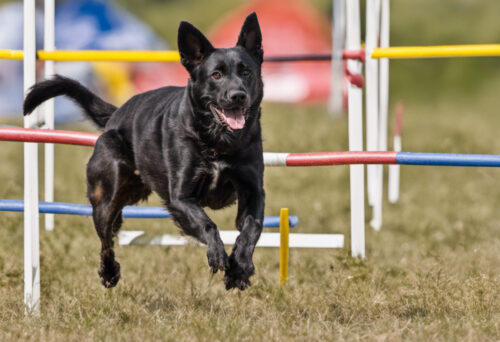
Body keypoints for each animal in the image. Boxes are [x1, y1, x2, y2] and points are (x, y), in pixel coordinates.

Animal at [22, 14, 266, 292]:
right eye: (216, 74)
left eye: (246, 72)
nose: (238, 95)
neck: (218, 141)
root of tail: (117, 115)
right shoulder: (181, 198)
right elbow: (207, 223)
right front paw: (218, 254)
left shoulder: (252, 190)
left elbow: (252, 226)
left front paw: (240, 269)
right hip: (107, 195)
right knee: (106, 239)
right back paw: (109, 272)